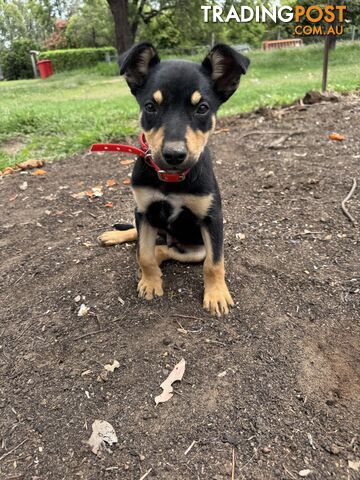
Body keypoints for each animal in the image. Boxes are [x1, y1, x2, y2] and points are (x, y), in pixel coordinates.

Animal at [99, 43, 250, 316]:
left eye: (202, 108)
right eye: (150, 106)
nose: (174, 155)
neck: (170, 179)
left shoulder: (212, 219)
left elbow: (214, 263)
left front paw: (216, 295)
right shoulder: (144, 210)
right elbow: (144, 255)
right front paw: (150, 282)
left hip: (193, 248)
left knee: (164, 250)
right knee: (143, 241)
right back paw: (116, 236)